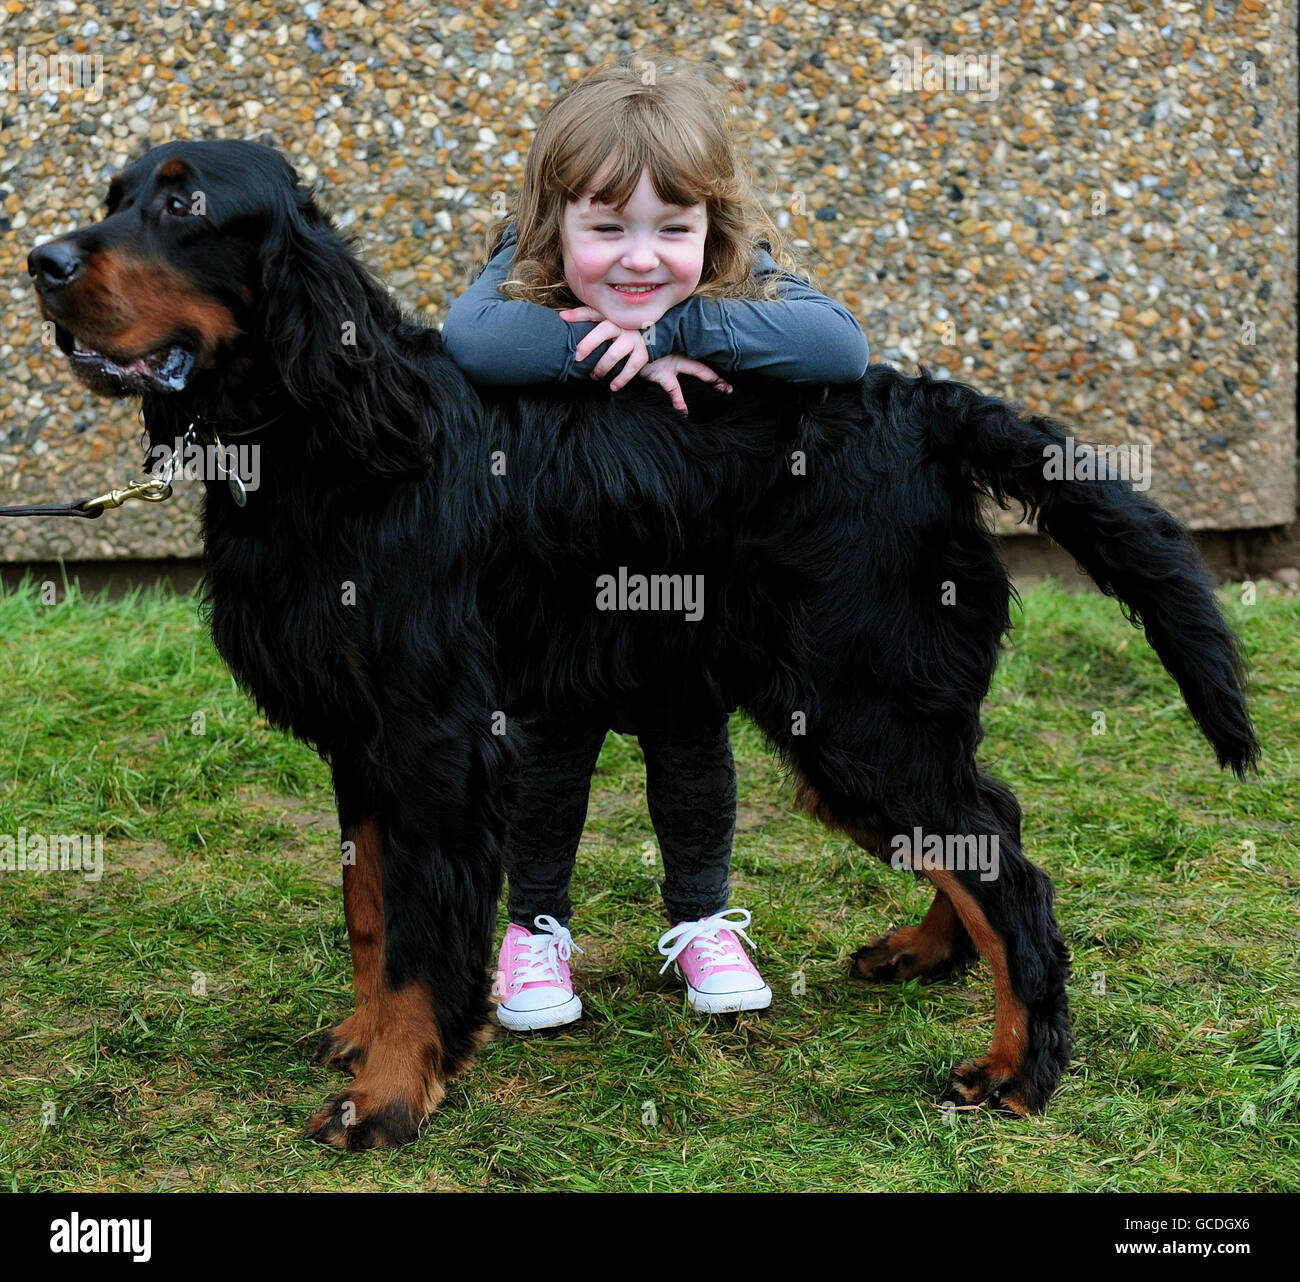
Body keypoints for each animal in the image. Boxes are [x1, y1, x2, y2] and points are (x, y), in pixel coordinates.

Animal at [25, 142, 1253, 1149]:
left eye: (183, 201)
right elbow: (372, 911)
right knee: (984, 824)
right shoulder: (363, 744)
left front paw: (388, 1097)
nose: (40, 261)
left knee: (1009, 867)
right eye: (114, 195)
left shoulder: (435, 741)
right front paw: (366, 1041)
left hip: (855, 711)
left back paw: (1015, 1071)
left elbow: (419, 938)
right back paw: (924, 953)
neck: (335, 434)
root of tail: (929, 408)